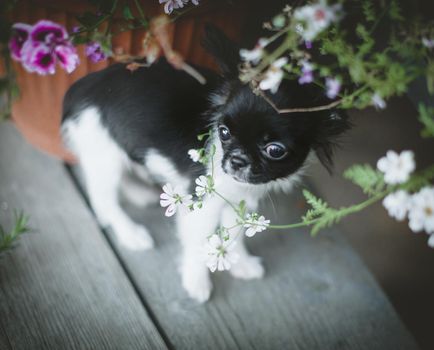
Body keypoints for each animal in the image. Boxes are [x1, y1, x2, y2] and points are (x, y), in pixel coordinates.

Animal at [62, 26, 350, 302]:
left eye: (275, 150)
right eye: (224, 132)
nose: (236, 160)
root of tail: (81, 87)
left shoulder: (238, 201)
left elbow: (234, 235)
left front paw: (240, 264)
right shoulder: (202, 205)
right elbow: (198, 243)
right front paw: (196, 281)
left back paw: (139, 194)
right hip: (103, 152)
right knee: (104, 201)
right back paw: (130, 233)